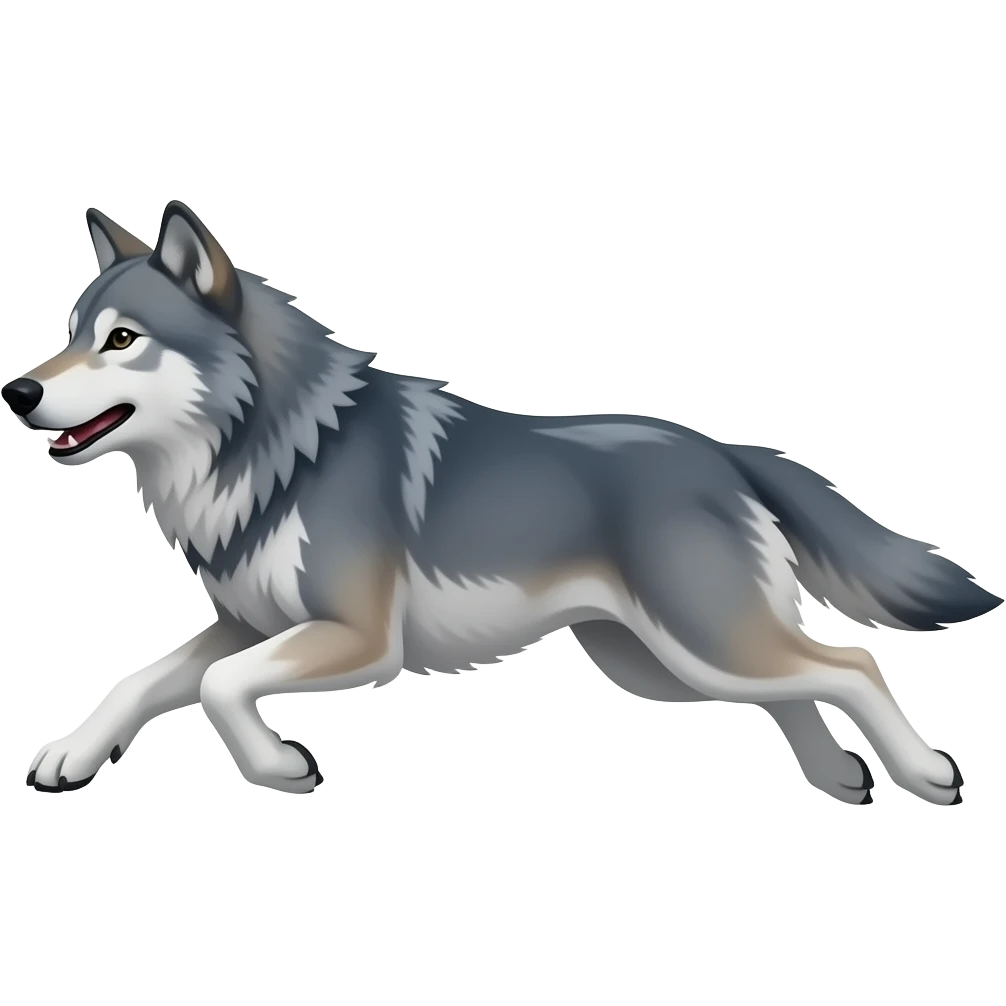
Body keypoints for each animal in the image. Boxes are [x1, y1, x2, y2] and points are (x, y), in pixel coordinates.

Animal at [9, 201, 999, 803]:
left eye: (121, 340)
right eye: (69, 335)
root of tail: (724, 451)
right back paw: (839, 777)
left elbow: (217, 688)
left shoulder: (355, 640)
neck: (275, 450)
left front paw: (278, 765)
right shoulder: (249, 626)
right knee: (800, 685)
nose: (17, 392)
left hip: (701, 647)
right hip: (667, 669)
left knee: (852, 664)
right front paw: (67, 755)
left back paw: (923, 771)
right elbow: (144, 679)